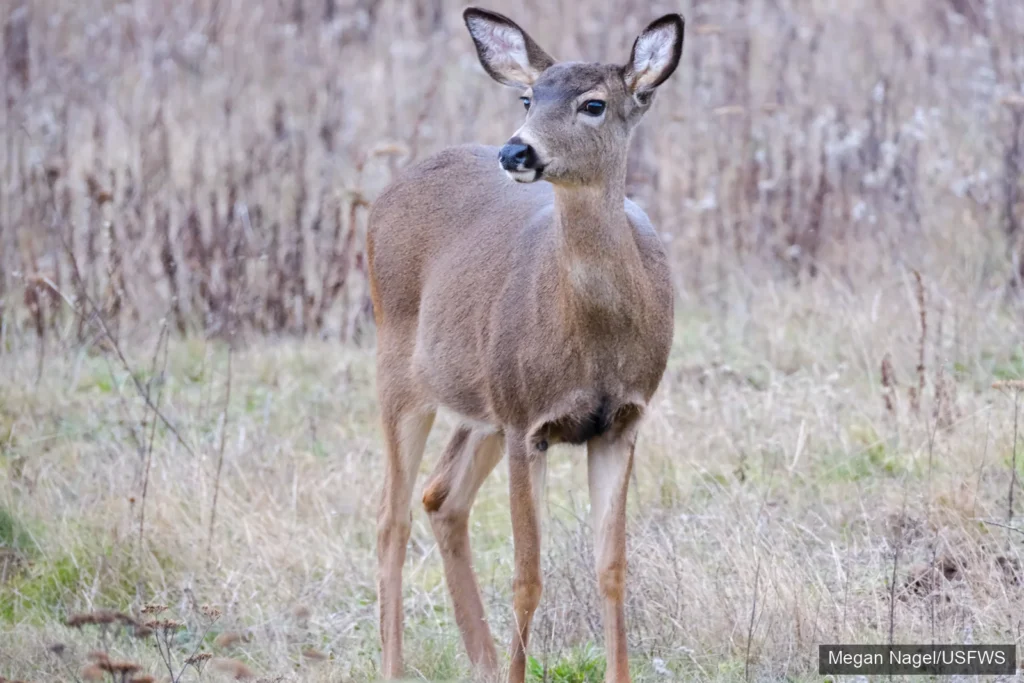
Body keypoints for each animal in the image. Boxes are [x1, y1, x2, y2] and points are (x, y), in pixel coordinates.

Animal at [367, 7, 683, 682]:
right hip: (403, 370)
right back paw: (398, 666)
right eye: (528, 97)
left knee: (441, 496)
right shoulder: (525, 423)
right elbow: (527, 577)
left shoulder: (622, 421)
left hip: (483, 396)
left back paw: (483, 661)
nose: (516, 149)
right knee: (390, 518)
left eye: (593, 103)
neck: (596, 342)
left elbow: (612, 568)